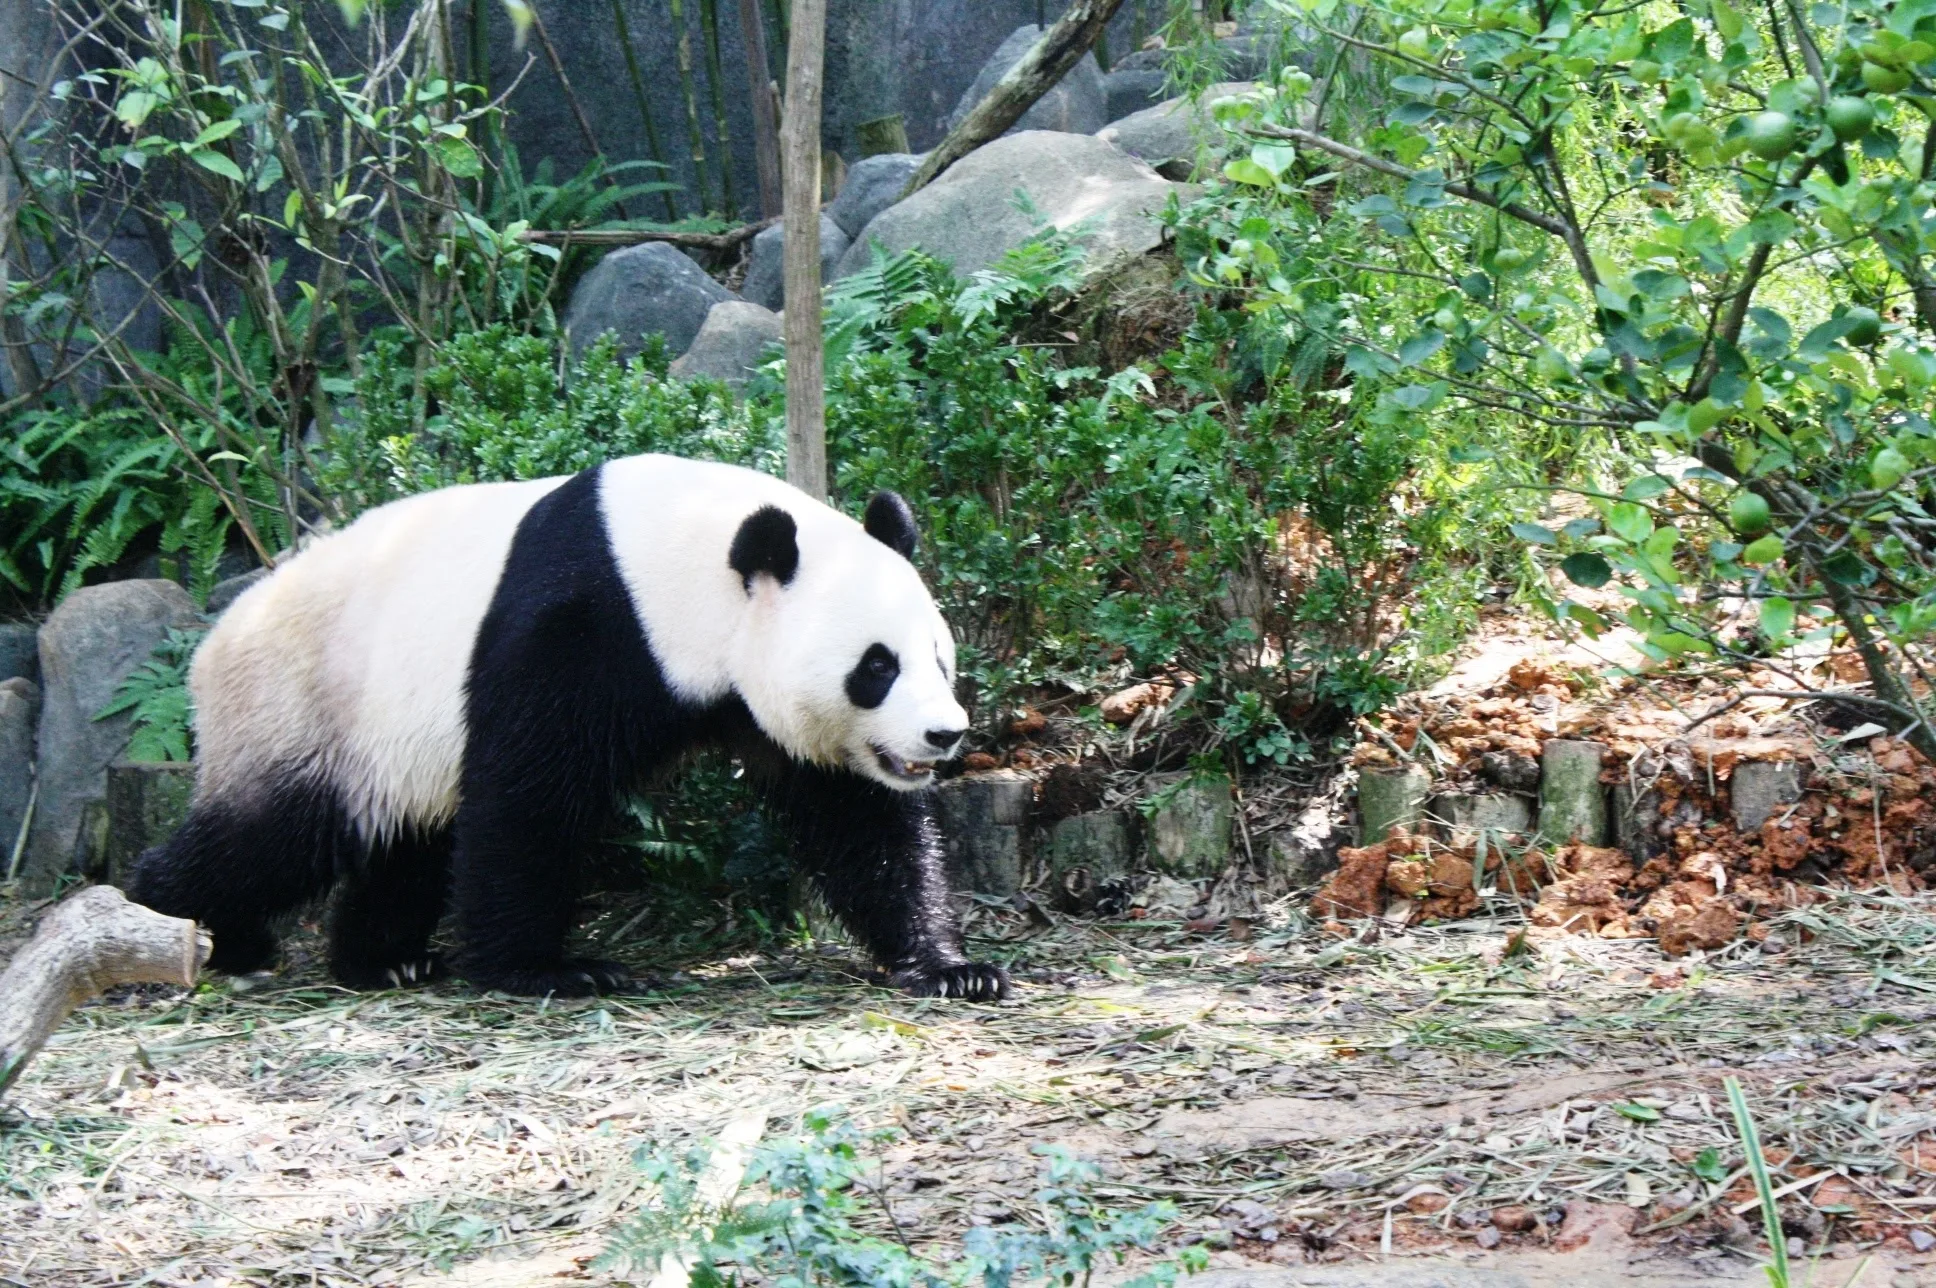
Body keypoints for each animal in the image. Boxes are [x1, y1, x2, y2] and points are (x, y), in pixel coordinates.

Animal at [127, 454, 1008, 1001]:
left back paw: (385, 960)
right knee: (270, 838)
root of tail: (208, 651)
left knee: (411, 840)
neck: (681, 558)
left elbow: (856, 819)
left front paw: (950, 967)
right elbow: (530, 795)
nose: (943, 736)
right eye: (876, 667)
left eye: (939, 659)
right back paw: (186, 928)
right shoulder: (582, 624)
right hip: (304, 705)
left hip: (393, 743)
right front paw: (551, 970)